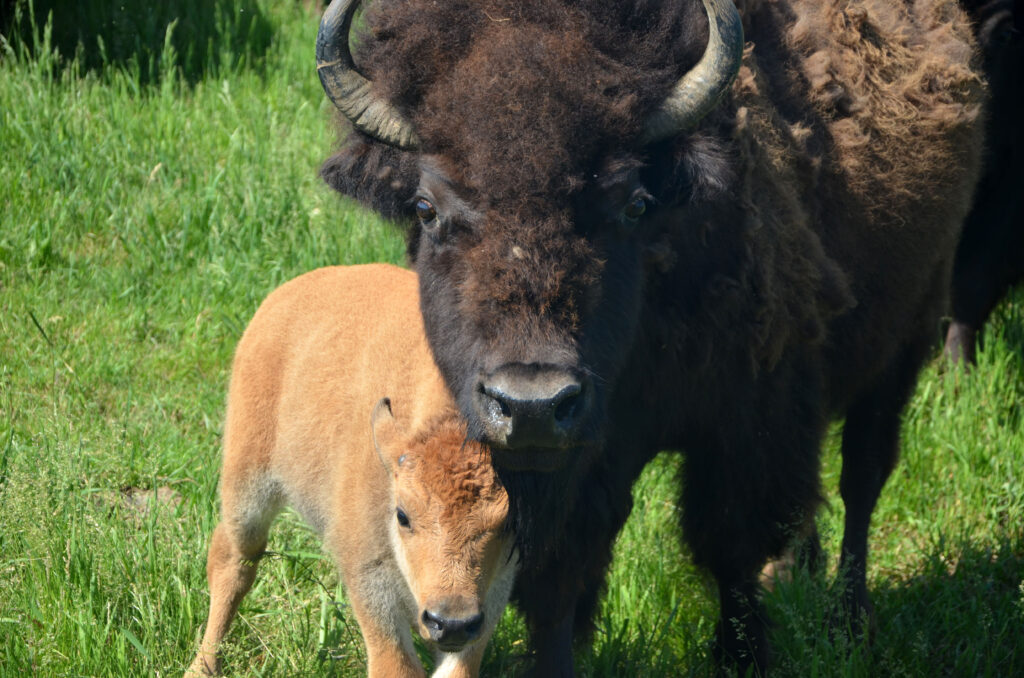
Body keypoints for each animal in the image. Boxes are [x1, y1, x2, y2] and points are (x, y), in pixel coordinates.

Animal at [317, 0, 985, 673]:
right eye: (425, 208)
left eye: (635, 204)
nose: (531, 405)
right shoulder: (568, 463)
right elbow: (558, 577)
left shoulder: (748, 423)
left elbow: (731, 548)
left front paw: (744, 655)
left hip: (904, 340)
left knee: (862, 477)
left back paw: (850, 618)